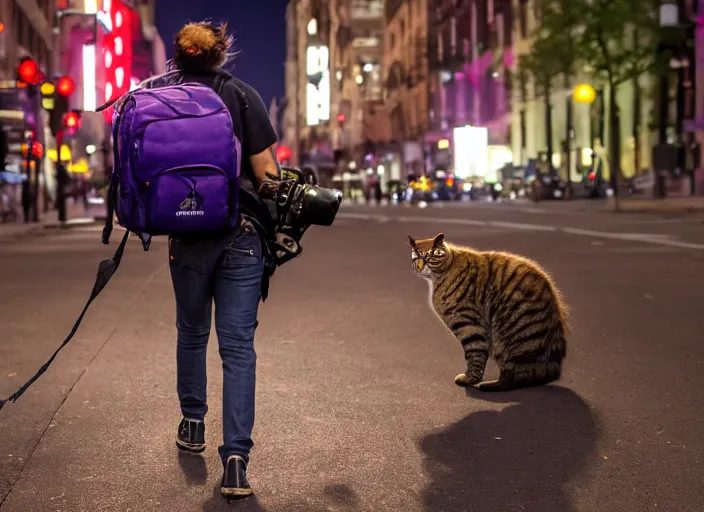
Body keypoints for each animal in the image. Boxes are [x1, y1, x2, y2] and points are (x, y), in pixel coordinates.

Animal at [410, 233, 568, 392]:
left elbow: (475, 353)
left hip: (510, 341)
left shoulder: (467, 324)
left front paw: (469, 379)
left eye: (430, 257)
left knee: (515, 377)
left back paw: (487, 385)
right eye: (416, 258)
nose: (420, 267)